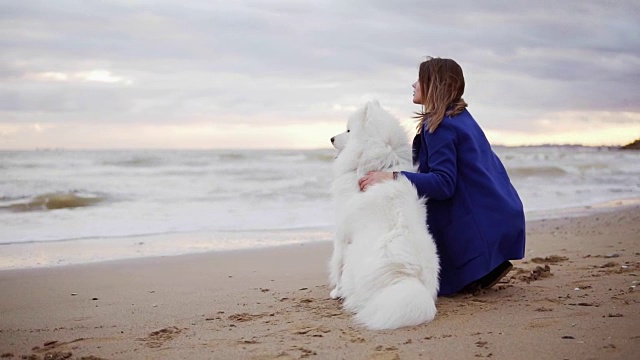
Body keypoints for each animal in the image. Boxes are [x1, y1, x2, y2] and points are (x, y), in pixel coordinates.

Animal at [330, 100, 440, 330]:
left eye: (348, 130)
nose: (331, 138)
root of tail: (408, 279)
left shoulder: (342, 235)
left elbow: (337, 265)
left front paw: (335, 291)